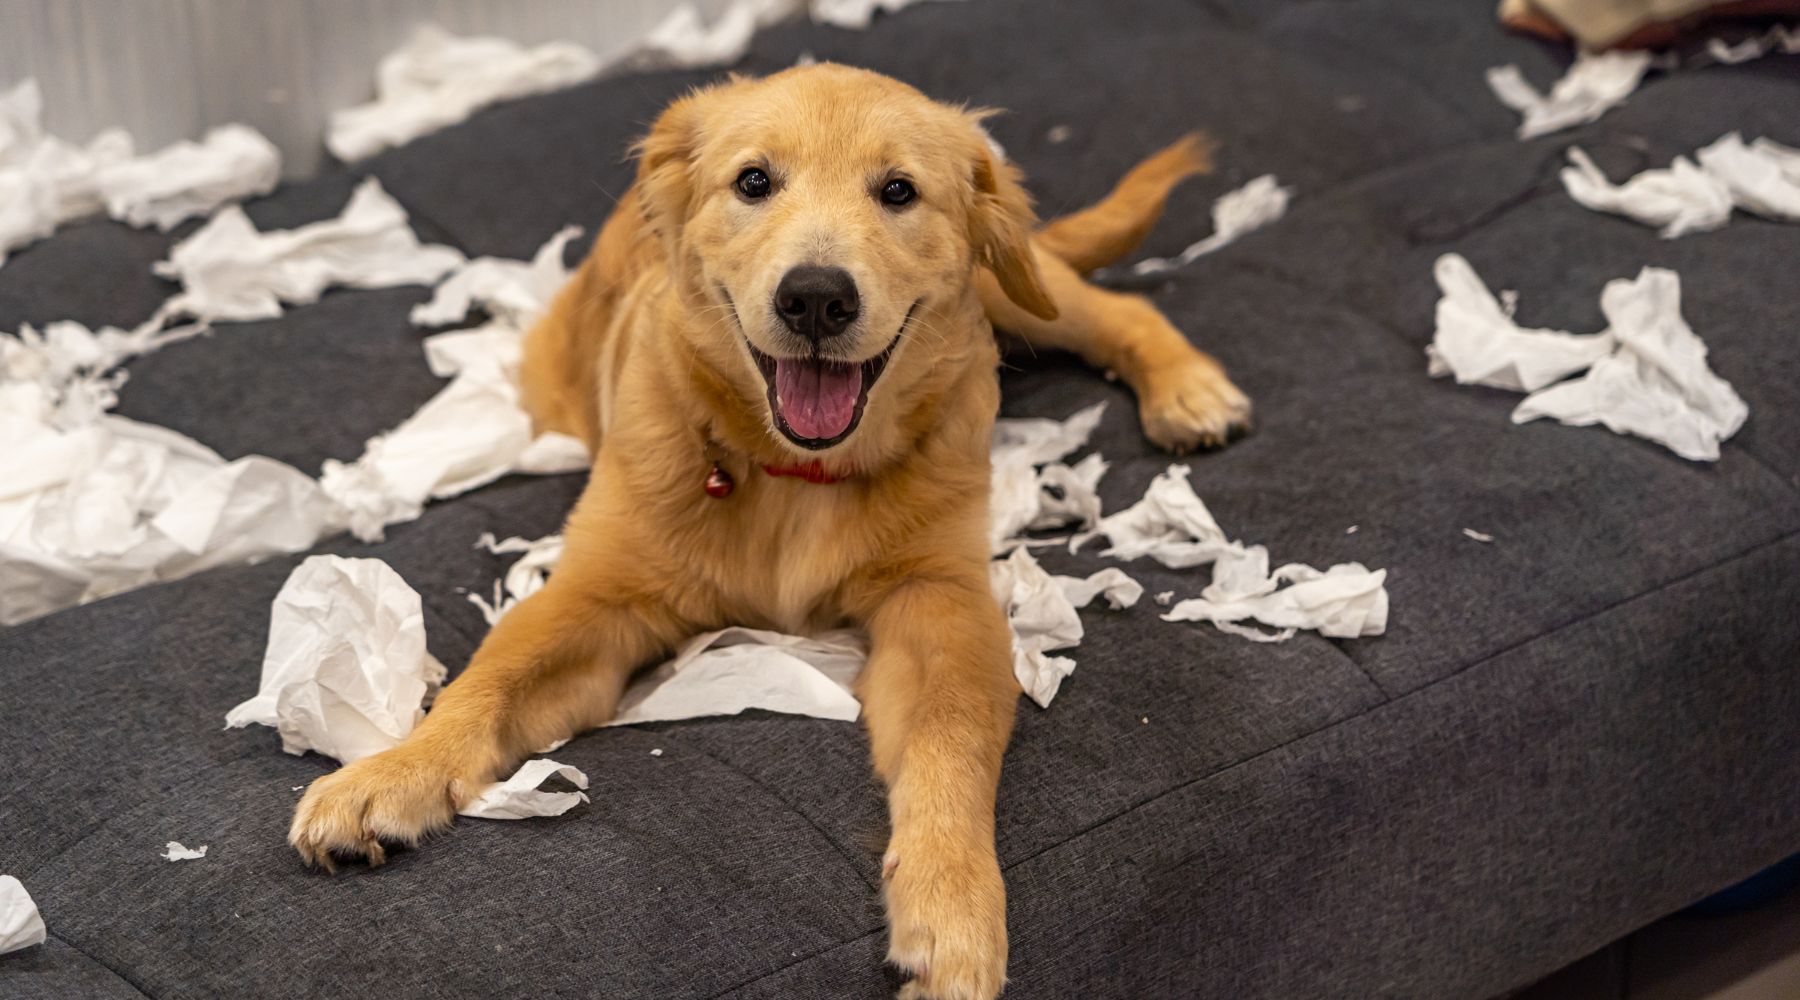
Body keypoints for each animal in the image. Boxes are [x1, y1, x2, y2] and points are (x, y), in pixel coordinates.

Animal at [291, 64, 1252, 1000]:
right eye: (754, 181)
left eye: (898, 191)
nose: (816, 299)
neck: (794, 476)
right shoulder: (594, 599)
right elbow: (485, 683)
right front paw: (389, 776)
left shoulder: (941, 603)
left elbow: (949, 743)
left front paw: (952, 907)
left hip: (1016, 287)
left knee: (1111, 309)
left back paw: (1188, 389)